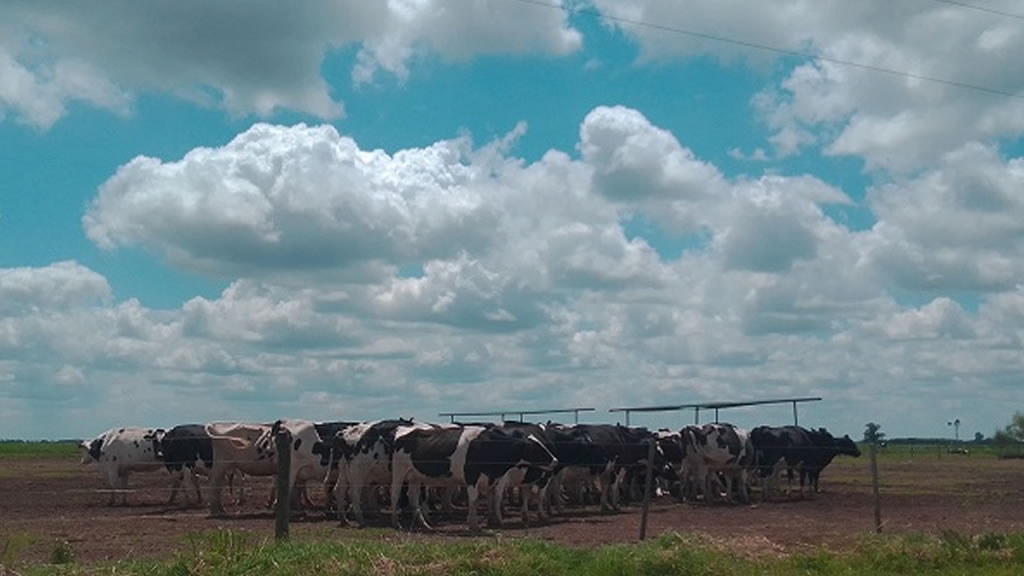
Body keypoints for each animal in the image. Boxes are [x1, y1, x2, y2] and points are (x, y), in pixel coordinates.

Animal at [387, 422, 557, 528]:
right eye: (536, 448)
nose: (555, 460)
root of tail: (402, 430)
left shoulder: (492, 479)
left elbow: (491, 498)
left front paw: (492, 520)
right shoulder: (471, 476)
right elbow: (474, 500)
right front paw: (473, 524)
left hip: (415, 476)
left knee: (413, 497)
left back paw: (424, 524)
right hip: (399, 472)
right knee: (394, 494)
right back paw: (395, 522)